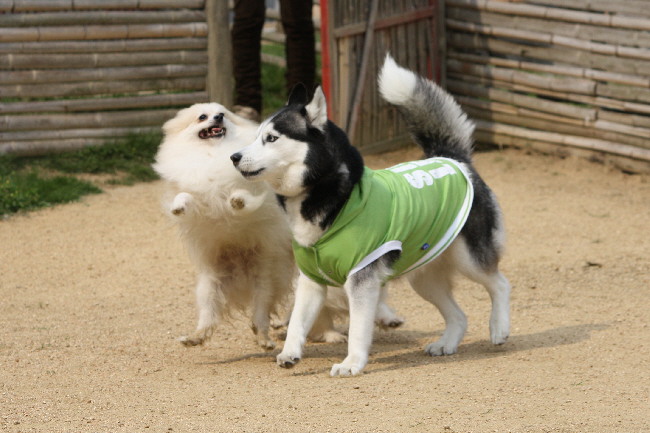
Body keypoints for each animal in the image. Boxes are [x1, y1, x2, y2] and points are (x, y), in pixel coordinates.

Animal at [153, 103, 402, 350]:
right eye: (202, 117)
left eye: (223, 112)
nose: (219, 117)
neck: (212, 154)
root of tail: (242, 280)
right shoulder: (199, 197)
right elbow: (186, 197)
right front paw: (179, 207)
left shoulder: (258, 195)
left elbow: (246, 198)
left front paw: (237, 201)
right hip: (210, 287)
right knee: (212, 316)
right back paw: (197, 337)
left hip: (267, 284)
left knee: (264, 316)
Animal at [230, 55, 511, 376]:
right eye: (256, 137)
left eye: (271, 138)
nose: (234, 157)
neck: (334, 196)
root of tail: (452, 158)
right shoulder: (310, 280)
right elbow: (298, 322)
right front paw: (290, 353)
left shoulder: (361, 280)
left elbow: (358, 329)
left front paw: (352, 363)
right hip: (424, 277)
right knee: (458, 314)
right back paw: (447, 343)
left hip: (469, 258)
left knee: (500, 283)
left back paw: (499, 328)